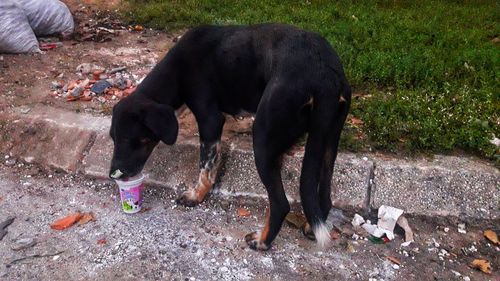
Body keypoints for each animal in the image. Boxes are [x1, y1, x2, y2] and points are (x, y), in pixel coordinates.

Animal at [109, 24, 352, 249]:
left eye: (128, 139)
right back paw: (311, 226)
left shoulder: (210, 120)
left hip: (263, 137)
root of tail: (324, 75)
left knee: (280, 203)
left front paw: (196, 196)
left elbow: (205, 167)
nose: (112, 175)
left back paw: (261, 241)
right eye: (113, 138)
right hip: (329, 141)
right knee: (324, 196)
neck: (177, 70)